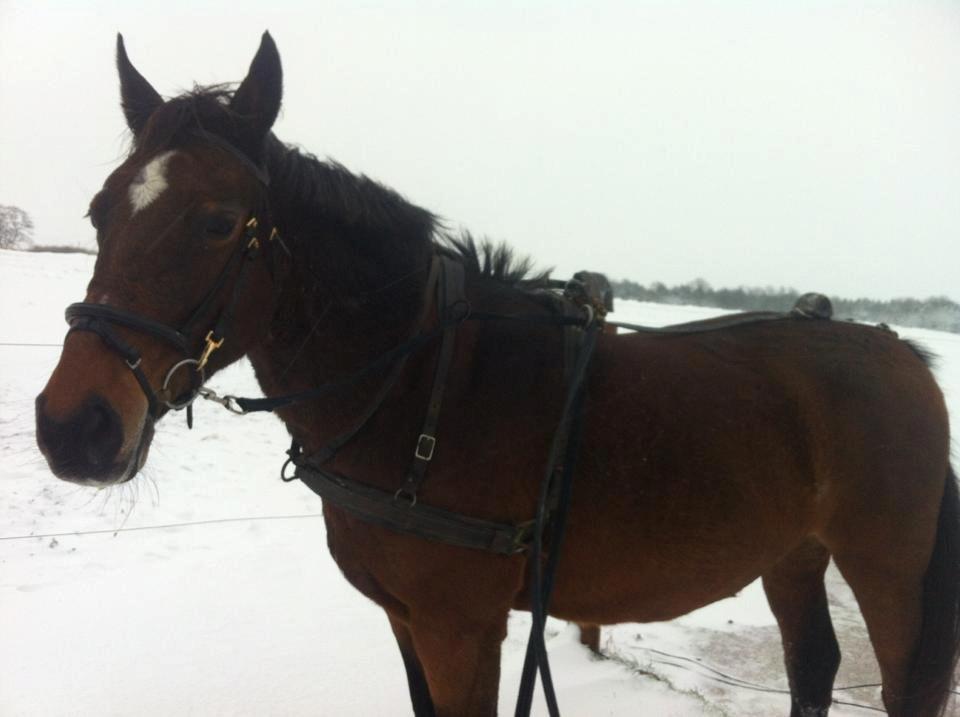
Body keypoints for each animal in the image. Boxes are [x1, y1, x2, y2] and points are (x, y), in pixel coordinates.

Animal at [33, 35, 956, 716]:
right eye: (99, 211)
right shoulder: (408, 622)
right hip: (795, 553)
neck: (420, 388)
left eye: (221, 222)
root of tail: (899, 351)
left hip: (887, 566)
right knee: (813, 665)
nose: (73, 426)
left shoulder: (461, 627)